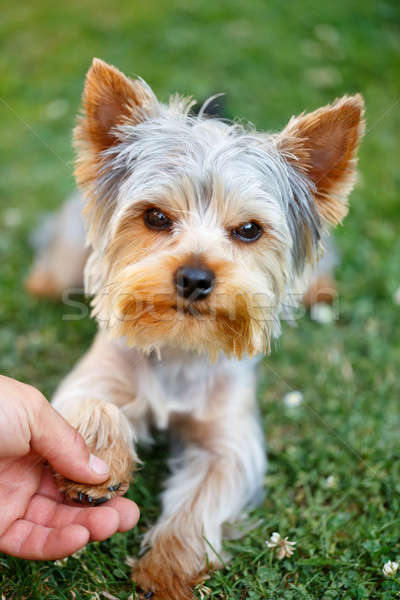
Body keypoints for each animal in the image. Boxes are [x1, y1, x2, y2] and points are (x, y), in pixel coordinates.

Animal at [39, 59, 362, 600]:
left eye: (249, 230)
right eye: (154, 217)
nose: (194, 277)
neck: (180, 345)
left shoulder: (229, 438)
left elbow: (208, 490)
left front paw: (169, 567)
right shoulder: (93, 376)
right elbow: (88, 405)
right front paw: (100, 463)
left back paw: (318, 289)